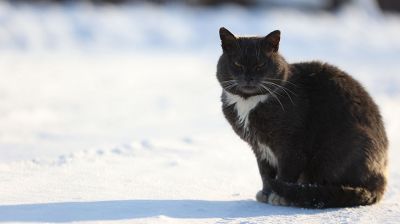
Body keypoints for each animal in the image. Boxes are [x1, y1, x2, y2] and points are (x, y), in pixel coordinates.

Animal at [217, 27, 390, 208]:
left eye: (260, 64)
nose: (248, 77)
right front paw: (265, 193)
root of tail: (381, 182)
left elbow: (286, 171)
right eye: (237, 64)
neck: (248, 102)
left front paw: (278, 196)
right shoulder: (259, 147)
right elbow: (265, 172)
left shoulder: (291, 146)